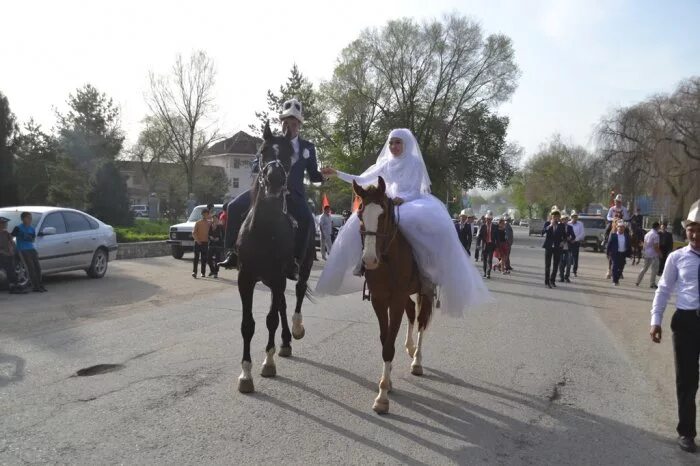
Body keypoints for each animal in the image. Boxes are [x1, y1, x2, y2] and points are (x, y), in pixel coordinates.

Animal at [237, 121, 314, 394]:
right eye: (263, 152)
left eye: (290, 156)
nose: (275, 180)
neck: (265, 229)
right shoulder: (246, 278)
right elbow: (247, 325)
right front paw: (245, 374)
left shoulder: (279, 276)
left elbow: (270, 320)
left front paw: (267, 363)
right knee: (281, 303)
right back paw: (285, 342)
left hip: (302, 266)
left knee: (298, 293)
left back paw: (297, 329)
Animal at [356, 177, 432, 414]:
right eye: (360, 215)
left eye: (383, 215)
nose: (369, 260)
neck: (388, 259)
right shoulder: (380, 300)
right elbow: (385, 339)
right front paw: (387, 382)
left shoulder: (395, 300)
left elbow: (389, 345)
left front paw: (382, 396)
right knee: (412, 313)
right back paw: (410, 346)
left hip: (425, 291)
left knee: (422, 321)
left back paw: (417, 361)